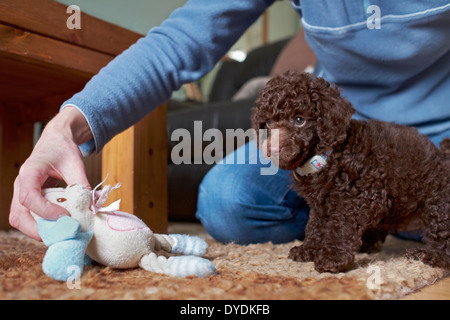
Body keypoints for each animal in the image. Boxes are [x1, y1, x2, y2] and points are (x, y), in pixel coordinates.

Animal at [251, 70, 450, 272]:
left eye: (300, 120)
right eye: (268, 122)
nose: (271, 148)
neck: (325, 157)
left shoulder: (359, 198)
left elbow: (340, 226)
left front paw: (332, 257)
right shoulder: (321, 204)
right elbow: (315, 225)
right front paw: (309, 249)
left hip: (437, 203)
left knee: (442, 237)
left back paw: (430, 255)